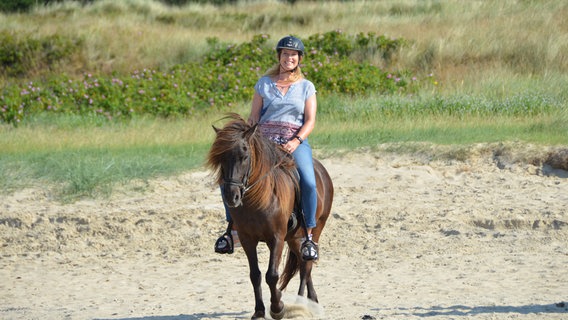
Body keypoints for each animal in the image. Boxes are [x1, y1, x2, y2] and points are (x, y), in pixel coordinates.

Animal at [206, 114, 332, 318]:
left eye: (244, 156)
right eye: (220, 158)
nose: (231, 196)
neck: (258, 199)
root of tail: (321, 170)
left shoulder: (277, 237)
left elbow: (272, 275)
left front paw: (277, 308)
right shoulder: (247, 238)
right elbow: (255, 275)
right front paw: (259, 310)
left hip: (314, 229)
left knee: (306, 266)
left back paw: (300, 304)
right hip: (294, 238)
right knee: (303, 264)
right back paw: (311, 300)